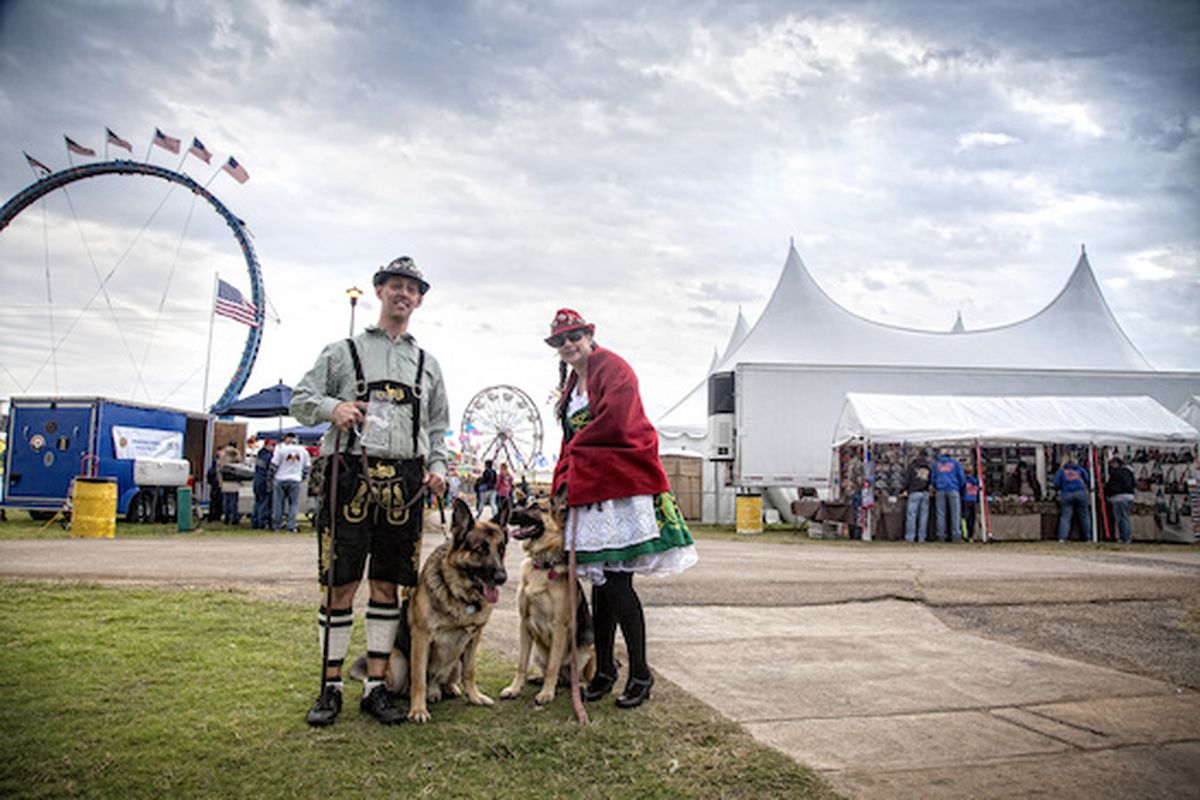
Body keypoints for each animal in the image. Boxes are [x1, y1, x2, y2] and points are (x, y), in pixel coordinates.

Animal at [350, 496, 511, 724]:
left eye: (501, 549)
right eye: (480, 549)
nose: (501, 577)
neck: (460, 595)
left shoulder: (474, 638)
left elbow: (470, 671)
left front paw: (475, 696)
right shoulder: (422, 637)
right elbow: (419, 677)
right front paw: (418, 710)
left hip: (455, 662)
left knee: (444, 679)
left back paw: (446, 688)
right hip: (398, 663)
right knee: (395, 682)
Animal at [496, 494, 595, 705]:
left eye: (535, 507)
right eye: (525, 502)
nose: (507, 510)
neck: (542, 564)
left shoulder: (559, 627)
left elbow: (553, 666)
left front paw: (547, 693)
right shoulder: (524, 623)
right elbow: (521, 663)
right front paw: (514, 689)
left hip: (586, 651)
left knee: (578, 676)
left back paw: (580, 686)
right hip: (539, 653)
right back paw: (539, 678)